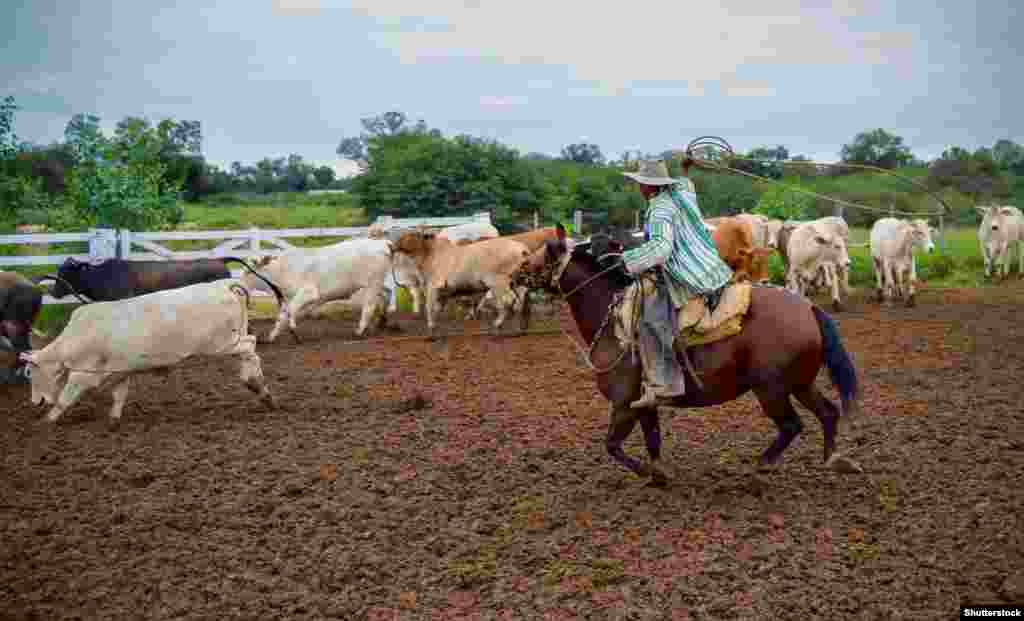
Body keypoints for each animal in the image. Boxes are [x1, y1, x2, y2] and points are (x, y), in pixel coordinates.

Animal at [18, 280, 274, 424]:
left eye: (30, 373)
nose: (35, 403)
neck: (73, 338)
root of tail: (224, 286)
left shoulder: (83, 374)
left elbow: (64, 399)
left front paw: (47, 420)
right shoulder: (120, 371)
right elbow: (119, 395)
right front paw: (114, 419)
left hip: (222, 344)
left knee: (249, 347)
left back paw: (256, 386)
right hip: (230, 339)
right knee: (249, 349)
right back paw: (260, 389)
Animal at [241, 239, 393, 346]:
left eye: (249, 271)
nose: (240, 286)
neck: (282, 270)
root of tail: (383, 243)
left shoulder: (308, 293)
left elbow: (290, 311)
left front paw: (294, 331)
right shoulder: (291, 298)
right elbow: (282, 316)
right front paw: (272, 337)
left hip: (373, 284)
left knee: (369, 306)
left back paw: (360, 331)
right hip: (378, 284)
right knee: (386, 294)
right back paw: (381, 323)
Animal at [512, 226, 864, 489]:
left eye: (545, 251)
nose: (516, 273)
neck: (615, 321)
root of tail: (808, 308)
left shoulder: (624, 403)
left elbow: (612, 445)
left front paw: (649, 472)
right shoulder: (644, 403)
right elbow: (652, 439)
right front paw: (658, 473)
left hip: (772, 390)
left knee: (792, 425)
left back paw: (760, 468)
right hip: (800, 383)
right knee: (828, 412)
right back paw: (835, 460)